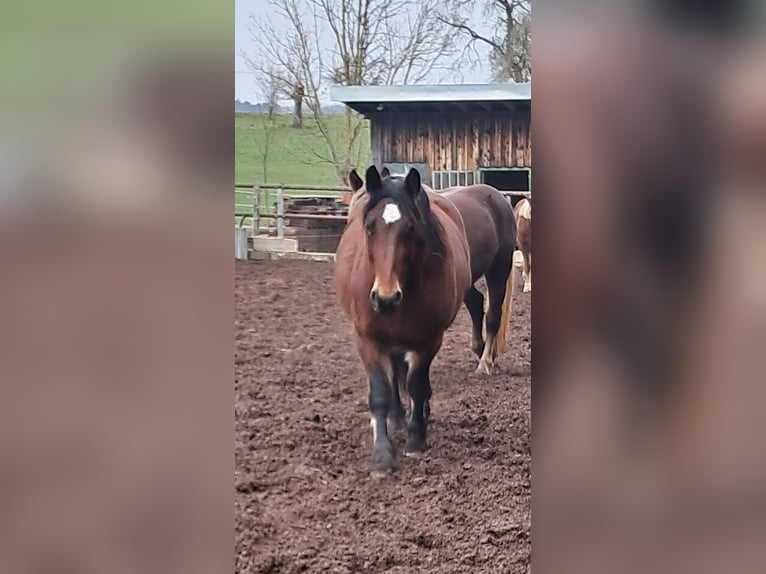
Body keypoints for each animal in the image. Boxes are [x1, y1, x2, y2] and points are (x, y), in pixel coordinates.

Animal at [336, 166, 474, 472]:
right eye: (369, 226)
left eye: (410, 228)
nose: (385, 298)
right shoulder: (367, 340)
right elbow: (380, 392)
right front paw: (382, 454)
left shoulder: (428, 341)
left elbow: (417, 386)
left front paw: (415, 439)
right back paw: (397, 418)